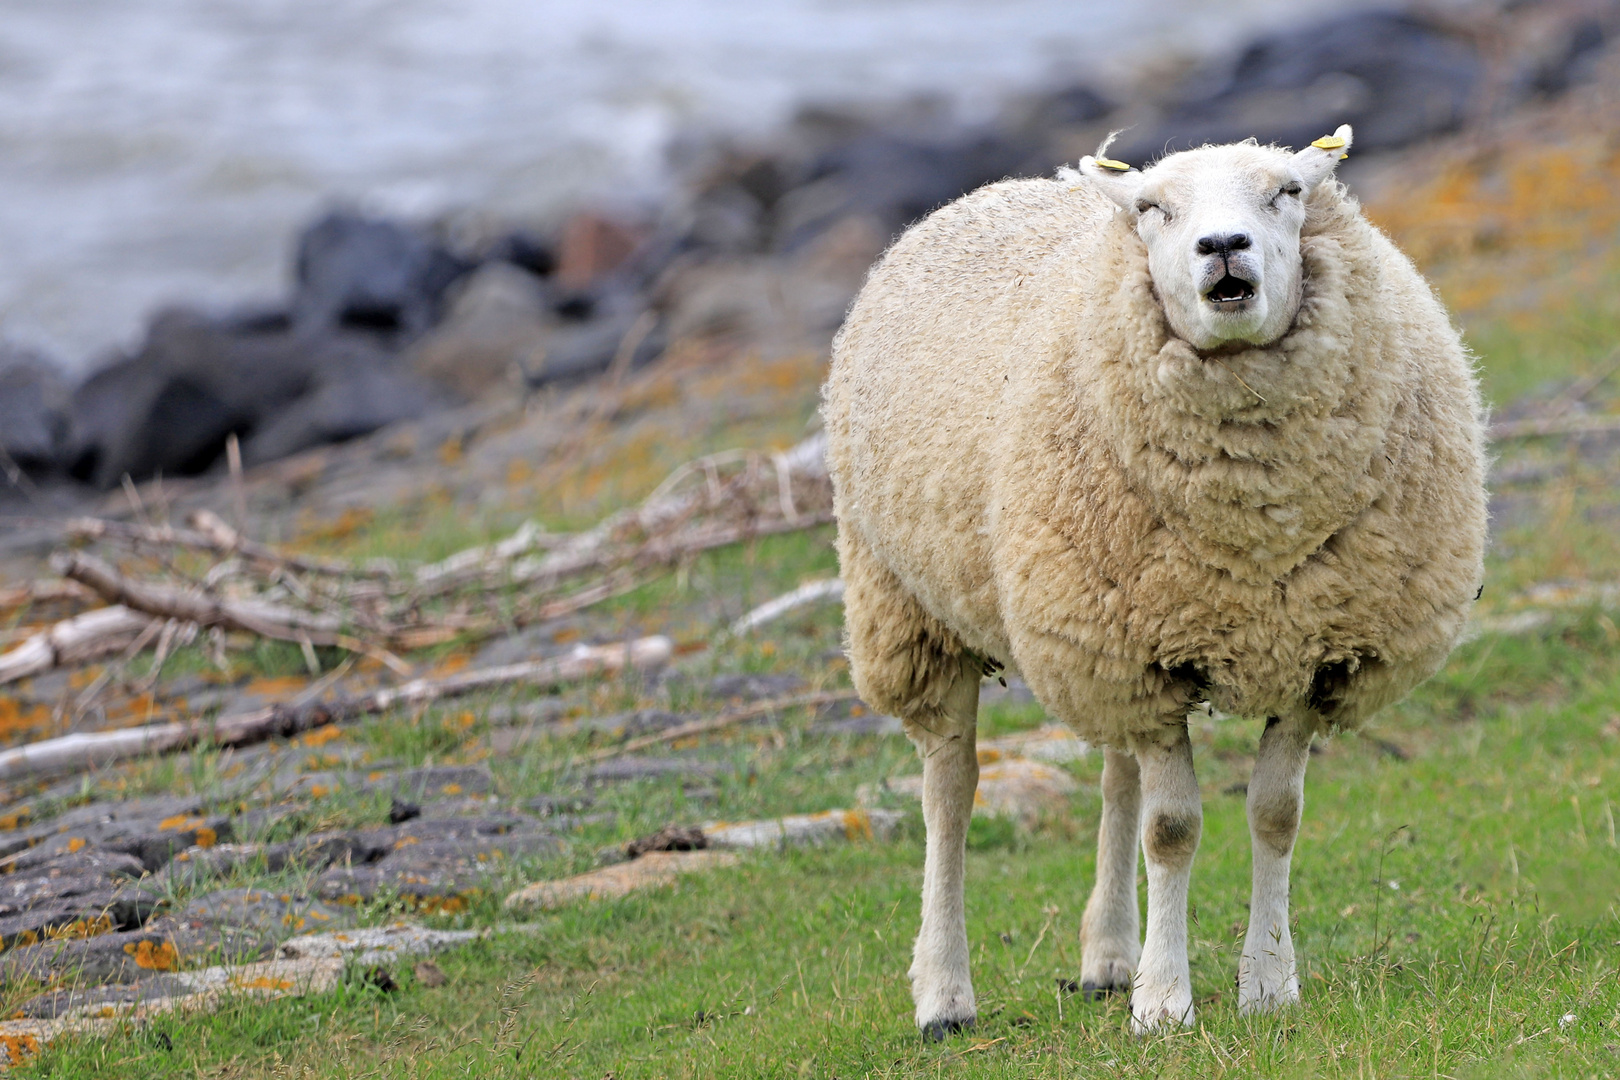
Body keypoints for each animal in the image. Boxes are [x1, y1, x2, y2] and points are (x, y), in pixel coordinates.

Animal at [829, 128, 1483, 1036]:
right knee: (951, 789)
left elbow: (1274, 815)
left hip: (1100, 626)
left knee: (1116, 777)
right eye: (1153, 209)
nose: (1223, 246)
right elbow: (1172, 829)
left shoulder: (1307, 651)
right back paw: (945, 994)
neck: (1253, 513)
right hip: (915, 608)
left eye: (1287, 190)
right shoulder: (1144, 658)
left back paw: (1108, 956)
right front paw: (1165, 1002)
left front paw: (1266, 983)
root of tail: (988, 191)